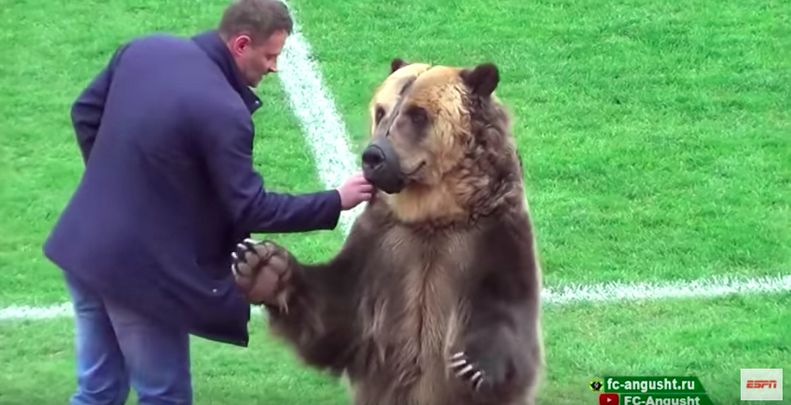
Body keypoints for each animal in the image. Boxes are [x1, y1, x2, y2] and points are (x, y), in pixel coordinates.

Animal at [231, 58, 544, 405]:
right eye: (381, 111)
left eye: (418, 114)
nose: (373, 156)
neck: (432, 215)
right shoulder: (382, 245)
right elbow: (336, 314)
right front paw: (262, 265)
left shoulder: (491, 236)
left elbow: (508, 310)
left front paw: (475, 365)